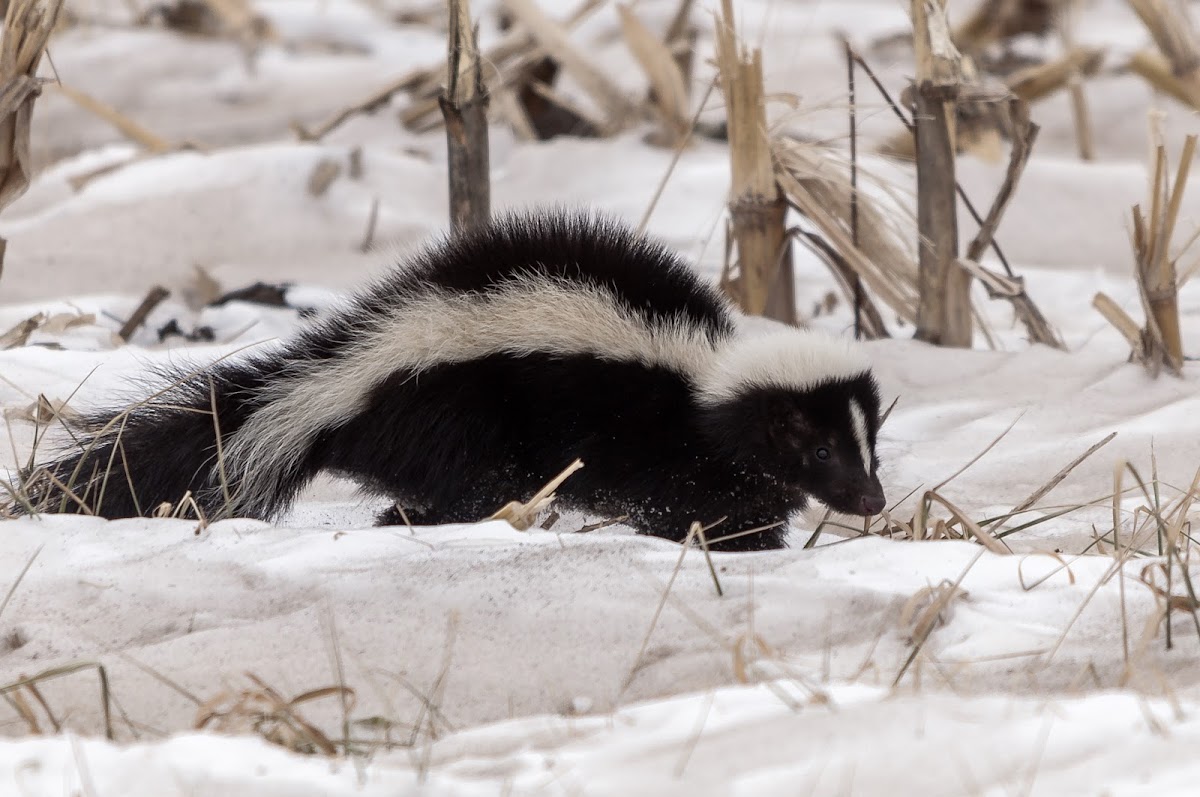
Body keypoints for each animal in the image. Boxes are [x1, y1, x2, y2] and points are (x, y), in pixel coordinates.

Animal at [23, 208, 888, 552]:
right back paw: (418, 517)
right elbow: (690, 496)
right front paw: (729, 539)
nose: (875, 499)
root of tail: (335, 377)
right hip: (459, 418)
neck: (707, 381)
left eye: (868, 445)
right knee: (462, 485)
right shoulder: (660, 436)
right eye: (819, 449)